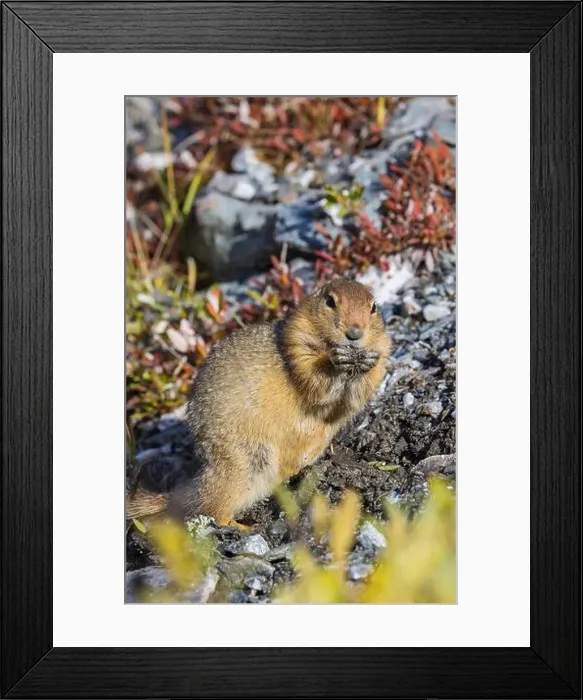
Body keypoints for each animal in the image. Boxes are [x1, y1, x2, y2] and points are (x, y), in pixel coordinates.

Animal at [127, 279, 391, 527]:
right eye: (330, 301)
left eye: (373, 307)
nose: (354, 334)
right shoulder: (298, 345)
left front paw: (367, 363)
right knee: (212, 508)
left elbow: (358, 394)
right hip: (246, 459)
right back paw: (242, 527)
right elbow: (315, 377)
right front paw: (337, 361)